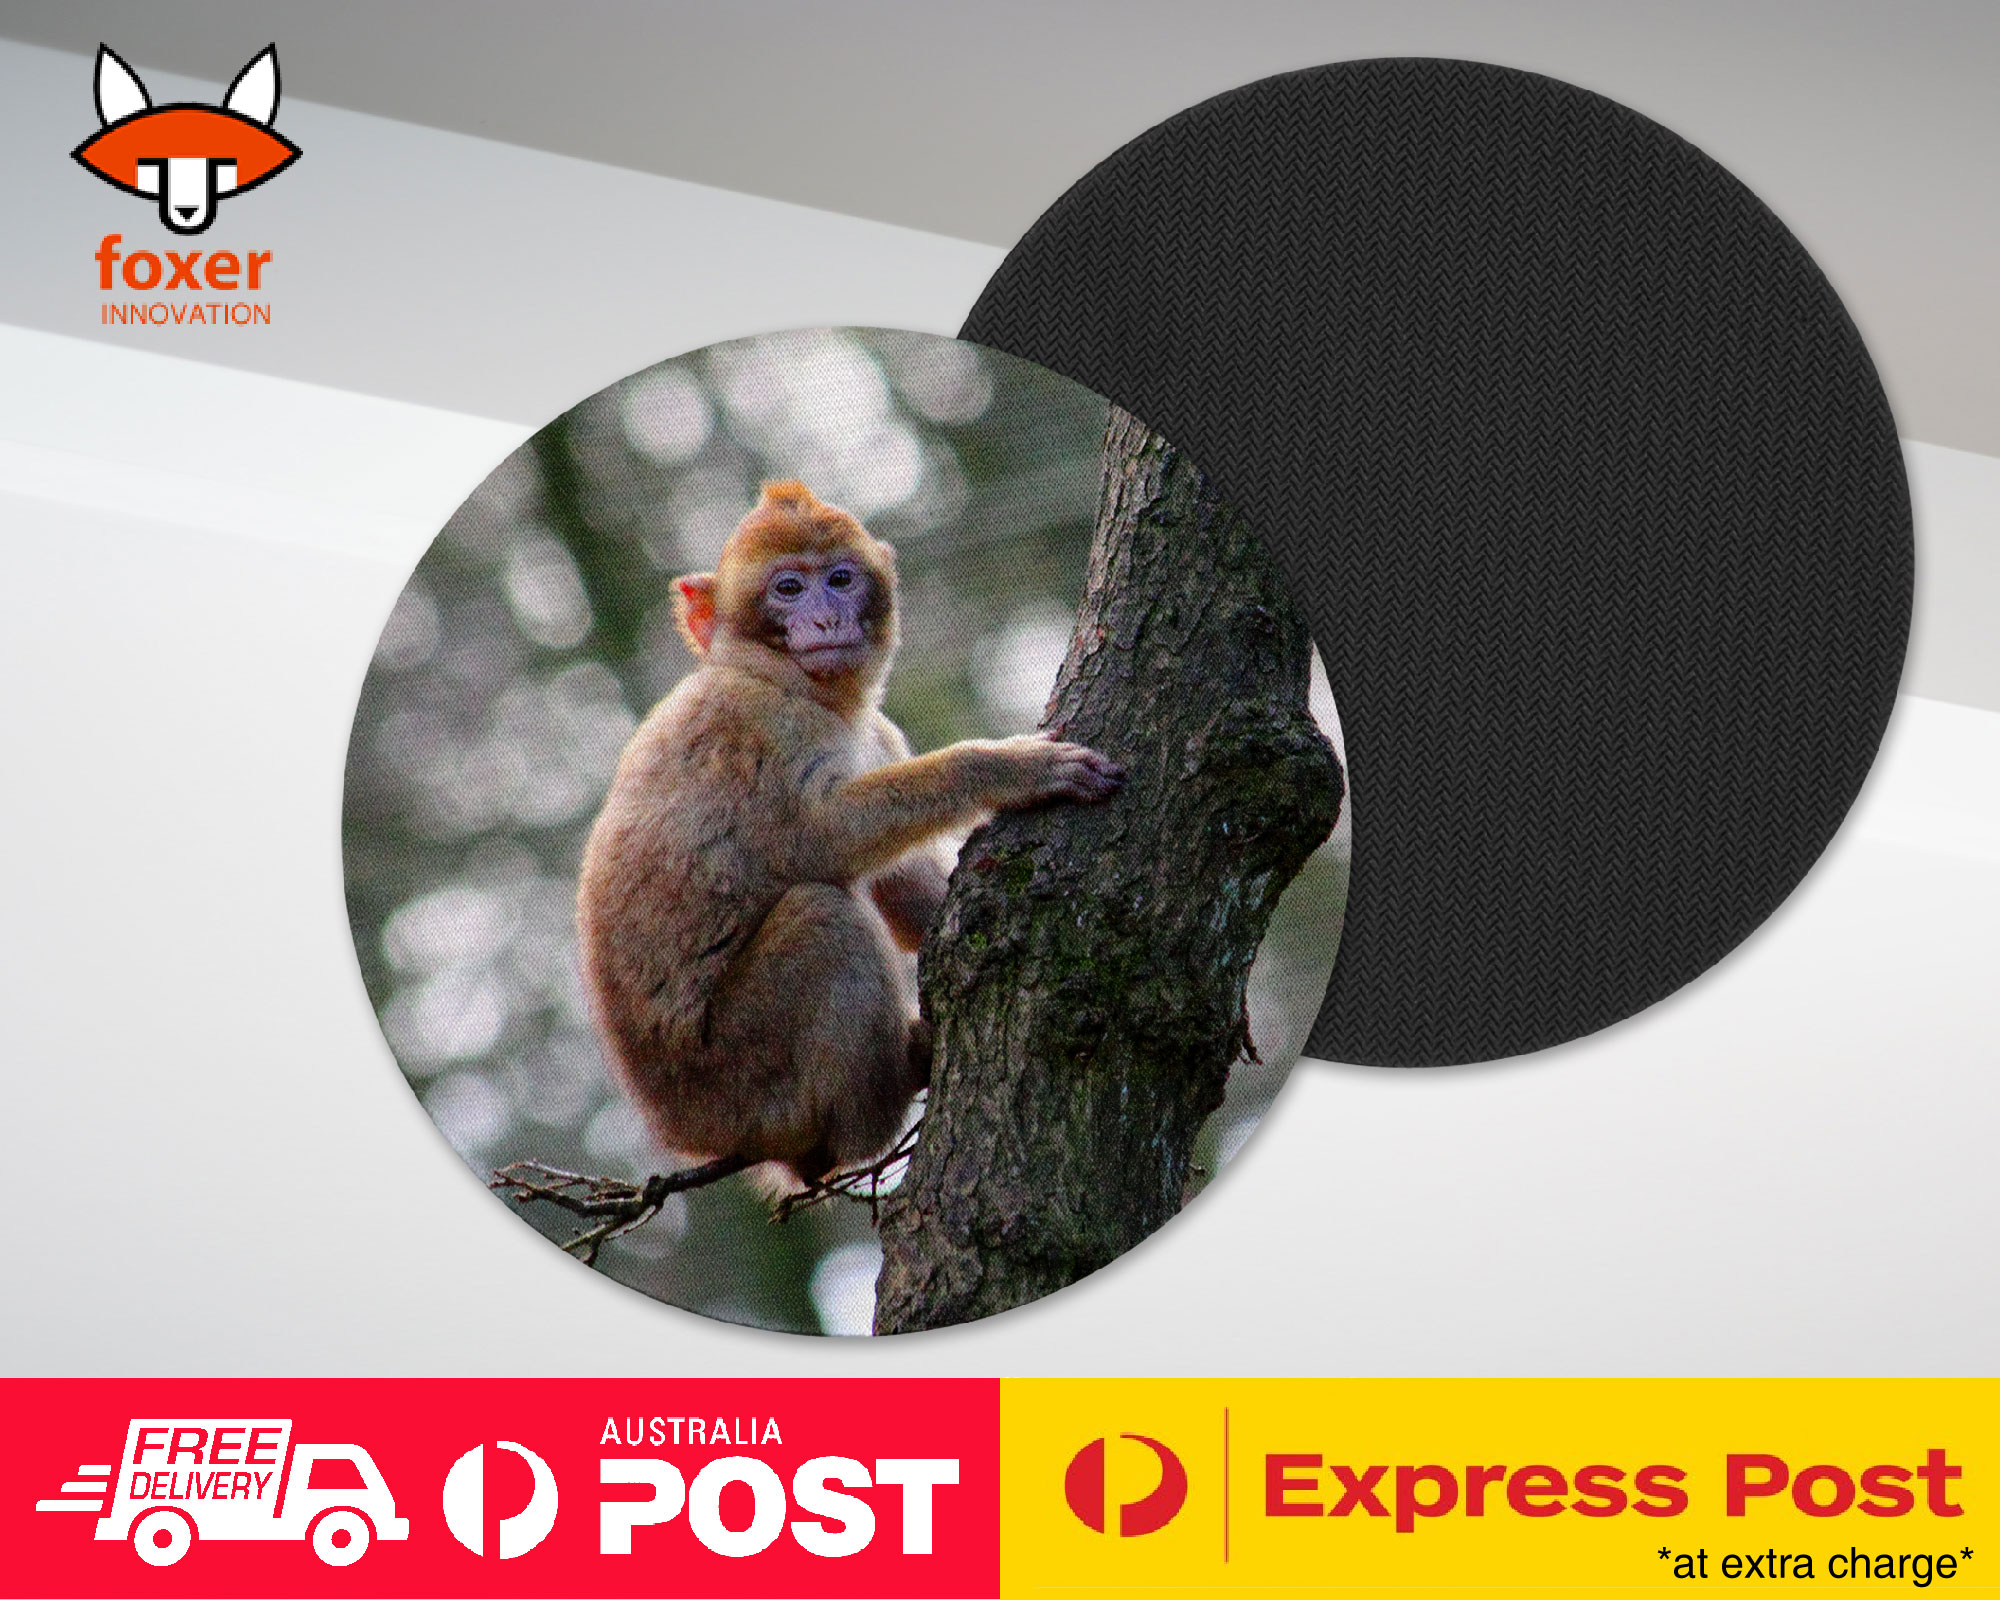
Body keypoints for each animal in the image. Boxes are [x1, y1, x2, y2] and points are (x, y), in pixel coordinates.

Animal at [576, 481, 1124, 1194]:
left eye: (839, 579)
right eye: (788, 588)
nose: (825, 619)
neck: (800, 689)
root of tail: (686, 1131)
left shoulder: (880, 734)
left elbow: (905, 887)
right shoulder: (756, 724)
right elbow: (815, 842)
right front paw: (1005, 768)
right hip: (741, 1076)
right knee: (823, 913)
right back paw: (890, 1091)